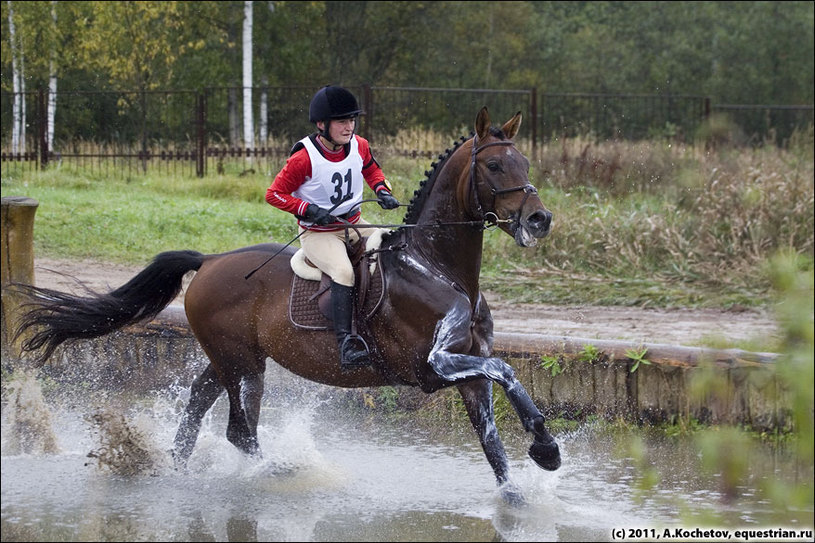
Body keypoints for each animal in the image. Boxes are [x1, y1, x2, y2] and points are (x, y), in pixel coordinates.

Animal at [12, 107, 560, 506]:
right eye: (494, 165)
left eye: (526, 165)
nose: (540, 220)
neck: (438, 268)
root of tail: (209, 261)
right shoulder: (434, 365)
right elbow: (507, 370)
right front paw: (546, 446)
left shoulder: (466, 373)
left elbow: (493, 441)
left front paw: (530, 475)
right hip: (244, 365)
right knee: (239, 431)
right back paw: (283, 472)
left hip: (230, 359)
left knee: (198, 402)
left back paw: (175, 468)